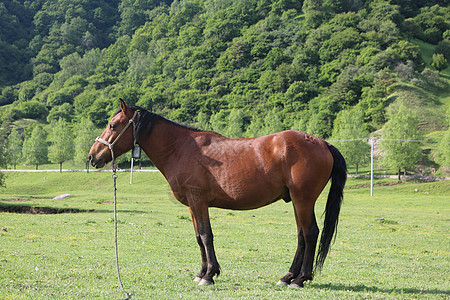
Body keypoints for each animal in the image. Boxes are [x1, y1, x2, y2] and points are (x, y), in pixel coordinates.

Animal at [89, 99, 346, 288]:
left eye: (113, 125)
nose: (93, 156)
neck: (181, 148)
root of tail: (322, 143)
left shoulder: (198, 201)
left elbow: (206, 236)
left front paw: (209, 275)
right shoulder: (192, 205)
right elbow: (198, 237)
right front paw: (202, 272)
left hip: (303, 200)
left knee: (310, 234)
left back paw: (300, 279)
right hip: (296, 201)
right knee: (301, 236)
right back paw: (287, 277)